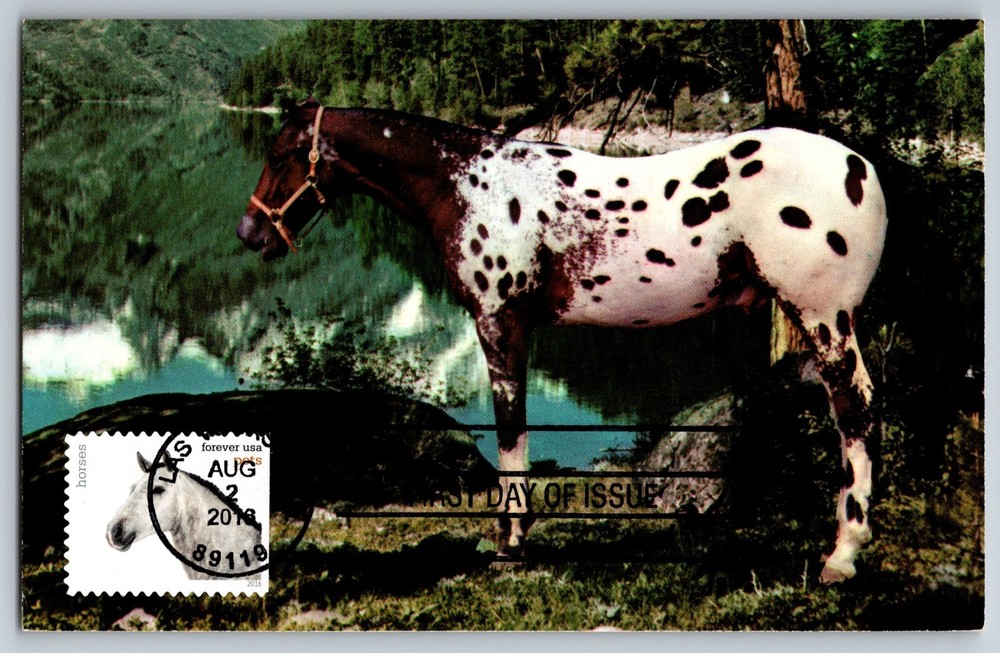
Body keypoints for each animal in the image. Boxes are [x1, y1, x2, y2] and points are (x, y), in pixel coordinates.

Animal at [237, 99, 887, 583]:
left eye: (282, 153)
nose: (249, 232)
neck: (469, 186)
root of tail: (860, 168)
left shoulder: (499, 322)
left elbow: (510, 430)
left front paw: (511, 545)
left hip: (825, 316)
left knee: (854, 407)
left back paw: (843, 555)